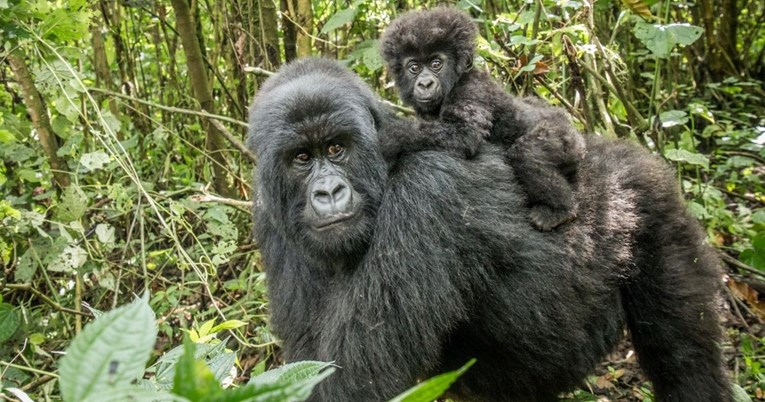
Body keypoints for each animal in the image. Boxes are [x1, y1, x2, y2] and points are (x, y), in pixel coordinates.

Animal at [248, 57, 732, 402]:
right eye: (301, 158)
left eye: (336, 148)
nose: (328, 191)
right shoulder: (270, 216)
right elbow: (310, 368)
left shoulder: (427, 194)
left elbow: (351, 384)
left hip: (655, 210)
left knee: (685, 359)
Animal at [380, 7, 580, 231]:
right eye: (413, 67)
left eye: (436, 64)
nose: (424, 84)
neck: (457, 78)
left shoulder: (471, 88)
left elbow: (463, 134)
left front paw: (391, 136)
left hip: (567, 139)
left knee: (527, 153)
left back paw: (560, 210)